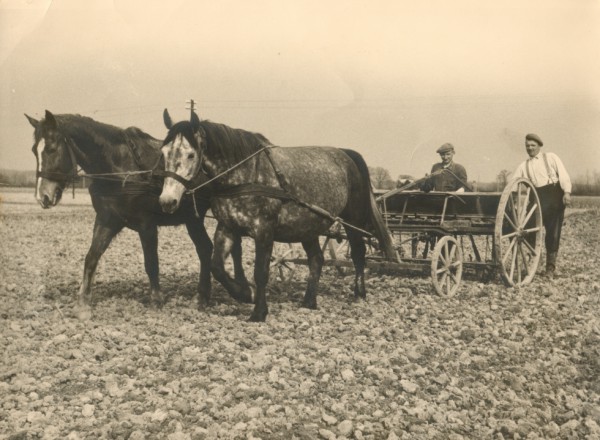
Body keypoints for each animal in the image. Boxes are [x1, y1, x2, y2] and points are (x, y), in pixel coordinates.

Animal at [25, 109, 250, 316]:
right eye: (34, 150)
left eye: (52, 149)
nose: (42, 196)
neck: (121, 168)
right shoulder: (107, 220)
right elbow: (91, 257)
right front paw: (83, 303)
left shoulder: (146, 224)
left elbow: (151, 262)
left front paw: (156, 300)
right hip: (194, 218)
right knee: (209, 248)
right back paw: (211, 294)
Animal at [158, 110, 398, 322]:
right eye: (164, 153)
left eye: (190, 154)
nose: (167, 201)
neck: (246, 174)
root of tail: (346, 154)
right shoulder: (227, 227)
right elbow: (216, 266)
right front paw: (245, 293)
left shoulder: (264, 230)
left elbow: (260, 272)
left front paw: (258, 312)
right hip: (307, 226)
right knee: (316, 259)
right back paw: (309, 301)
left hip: (352, 220)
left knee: (358, 253)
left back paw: (359, 293)